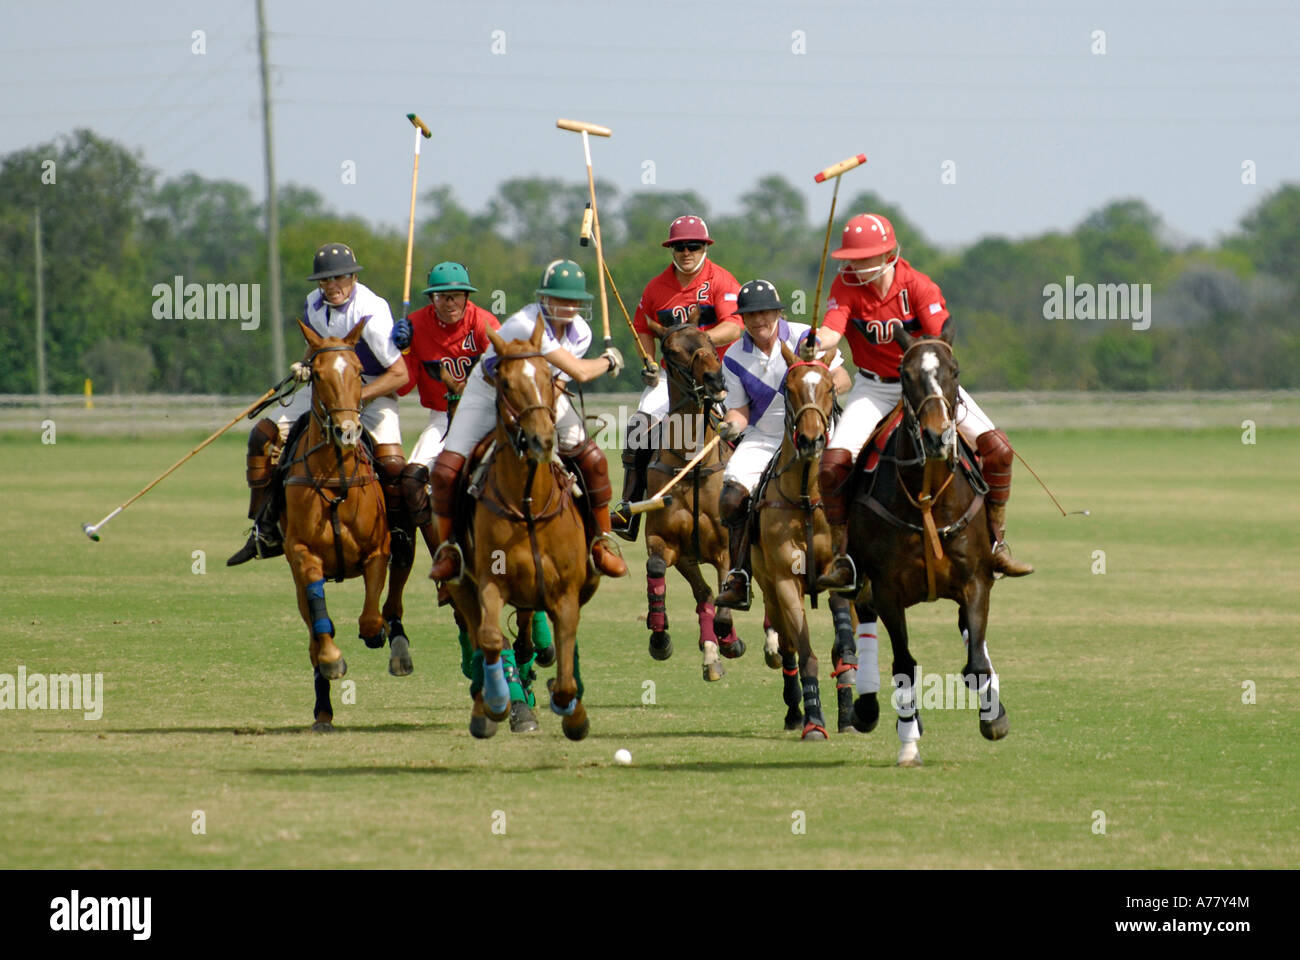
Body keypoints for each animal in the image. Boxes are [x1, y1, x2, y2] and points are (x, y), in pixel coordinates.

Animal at [283, 317, 405, 728]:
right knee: (313, 631)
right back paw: (323, 709)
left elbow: (370, 616)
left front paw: (377, 633)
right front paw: (333, 660)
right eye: (317, 374)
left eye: (357, 371)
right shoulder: (301, 553)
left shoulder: (377, 552)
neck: (335, 476)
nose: (348, 431)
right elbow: (321, 622)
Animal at [439, 314, 595, 738]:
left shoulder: (567, 592)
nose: (543, 439)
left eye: (547, 377)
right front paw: (498, 704)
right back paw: (488, 704)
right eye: (506, 383)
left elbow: (566, 654)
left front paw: (572, 711)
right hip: (461, 584)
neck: (528, 505)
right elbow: (492, 638)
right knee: (482, 635)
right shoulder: (490, 581)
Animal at [644, 321, 748, 681]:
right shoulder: (664, 541)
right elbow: (657, 569)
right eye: (672, 350)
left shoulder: (726, 546)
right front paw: (660, 638)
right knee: (703, 594)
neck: (693, 464)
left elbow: (725, 600)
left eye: (710, 342)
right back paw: (710, 655)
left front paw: (730, 641)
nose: (715, 381)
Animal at [748, 343, 857, 733]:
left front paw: (848, 713)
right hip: (767, 588)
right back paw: (795, 711)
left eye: (830, 388)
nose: (812, 440)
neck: (809, 497)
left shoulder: (843, 574)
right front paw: (813, 720)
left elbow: (843, 647)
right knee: (787, 647)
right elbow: (805, 651)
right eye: (789, 389)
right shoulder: (783, 580)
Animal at [837, 329, 1008, 764]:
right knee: (864, 619)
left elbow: (976, 663)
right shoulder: (887, 589)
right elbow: (904, 664)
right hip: (862, 577)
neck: (929, 493)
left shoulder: (976, 581)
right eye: (905, 373)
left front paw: (993, 718)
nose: (936, 436)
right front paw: (908, 742)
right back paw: (868, 708)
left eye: (955, 370)